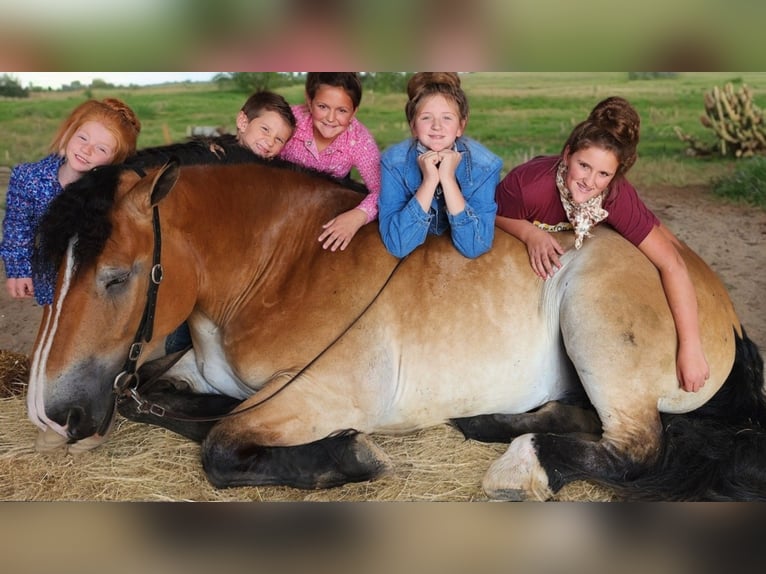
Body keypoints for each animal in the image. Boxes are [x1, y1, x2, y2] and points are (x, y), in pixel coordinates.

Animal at [25, 151, 766, 502]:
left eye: (116, 276)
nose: (54, 413)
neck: (283, 266)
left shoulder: (328, 392)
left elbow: (221, 445)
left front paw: (347, 454)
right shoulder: (191, 370)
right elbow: (154, 399)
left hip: (596, 326)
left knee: (635, 448)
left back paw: (522, 464)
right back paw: (491, 422)